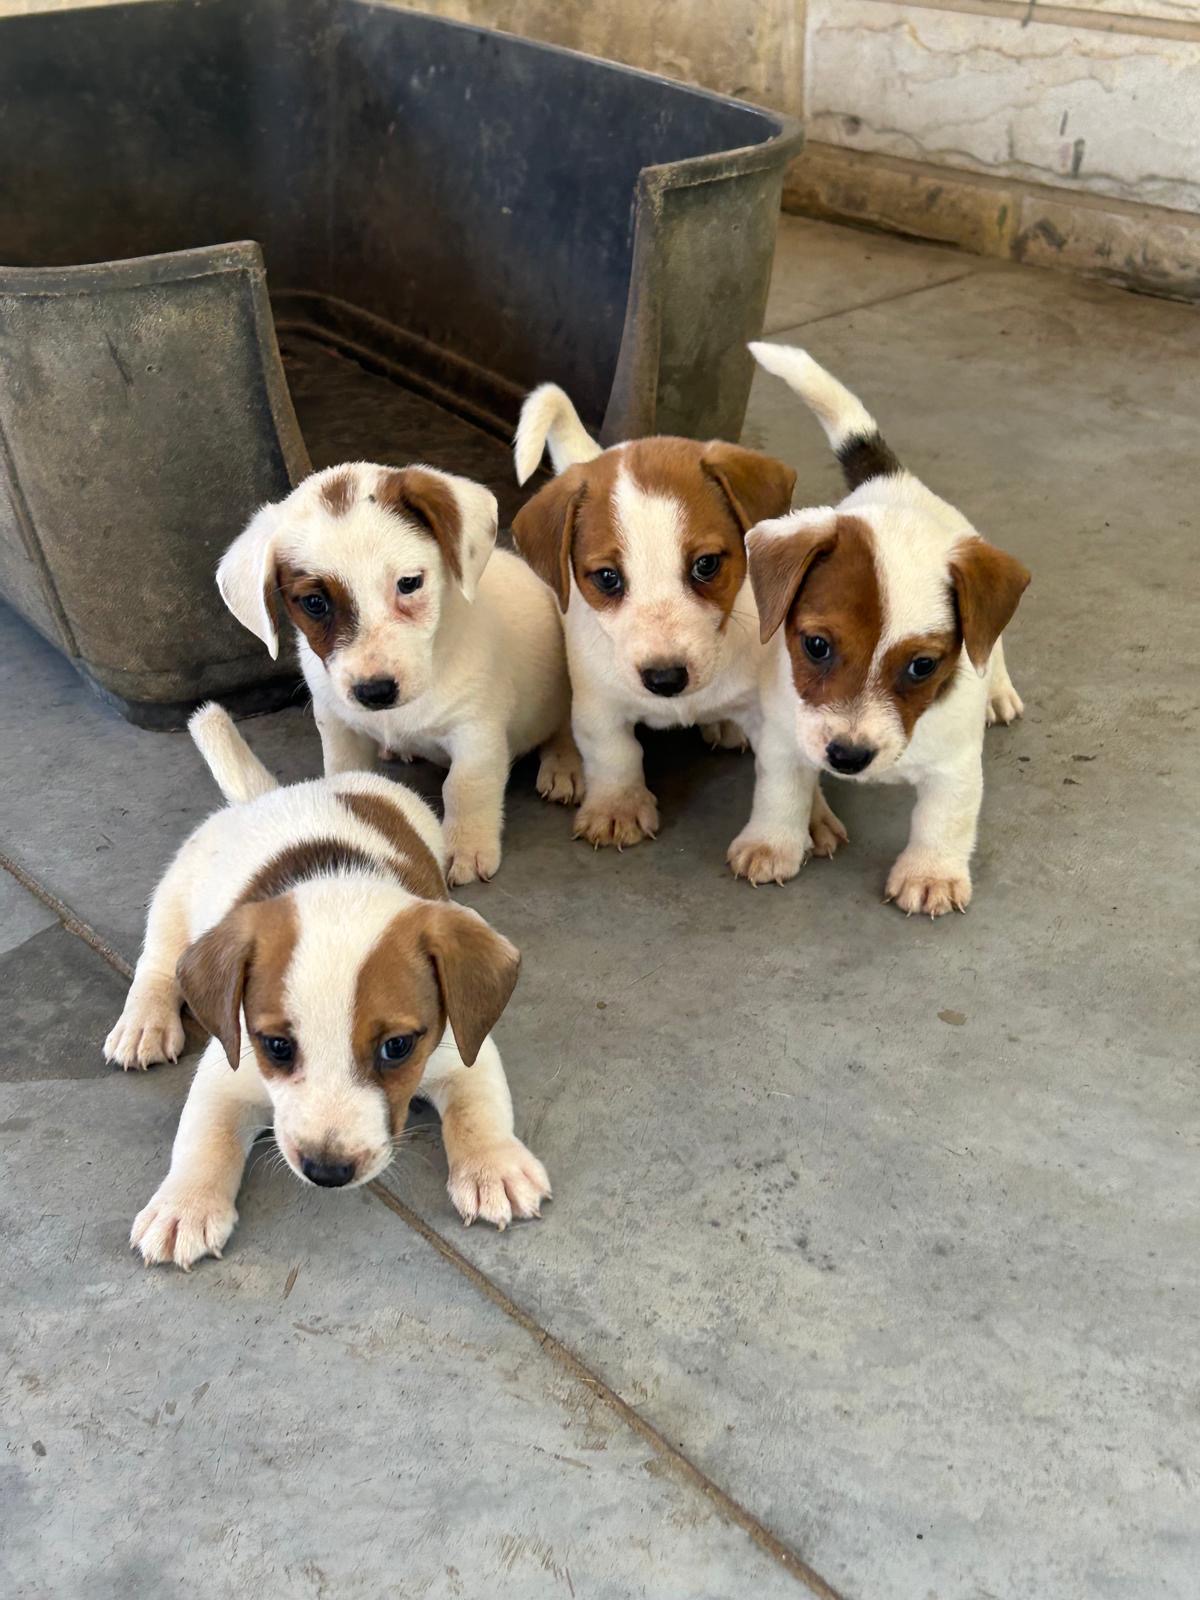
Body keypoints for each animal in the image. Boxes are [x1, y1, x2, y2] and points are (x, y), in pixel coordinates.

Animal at [103, 707, 553, 1267]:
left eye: (397, 1047)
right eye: (276, 1046)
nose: (327, 1171)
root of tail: (269, 795)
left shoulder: (462, 1047)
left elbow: (480, 1111)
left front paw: (495, 1168)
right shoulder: (227, 1070)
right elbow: (202, 1137)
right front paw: (184, 1205)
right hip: (174, 896)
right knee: (158, 965)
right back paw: (144, 1023)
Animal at [217, 460, 582, 889]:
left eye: (409, 583)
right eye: (314, 602)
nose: (375, 691)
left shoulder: (476, 732)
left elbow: (466, 787)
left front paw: (467, 845)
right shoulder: (338, 724)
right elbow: (343, 771)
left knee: (562, 727)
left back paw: (563, 765)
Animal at [512, 382, 851, 876]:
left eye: (706, 565)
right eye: (607, 578)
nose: (665, 678)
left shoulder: (779, 713)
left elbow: (785, 777)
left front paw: (792, 828)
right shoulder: (600, 702)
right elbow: (614, 753)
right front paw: (616, 806)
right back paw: (565, 763)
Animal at [742, 344, 1036, 921]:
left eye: (922, 665)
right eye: (816, 645)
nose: (848, 757)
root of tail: (894, 480)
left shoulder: (955, 766)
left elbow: (944, 820)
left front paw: (930, 873)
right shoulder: (786, 737)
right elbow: (779, 791)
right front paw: (772, 841)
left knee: (993, 646)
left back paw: (999, 691)